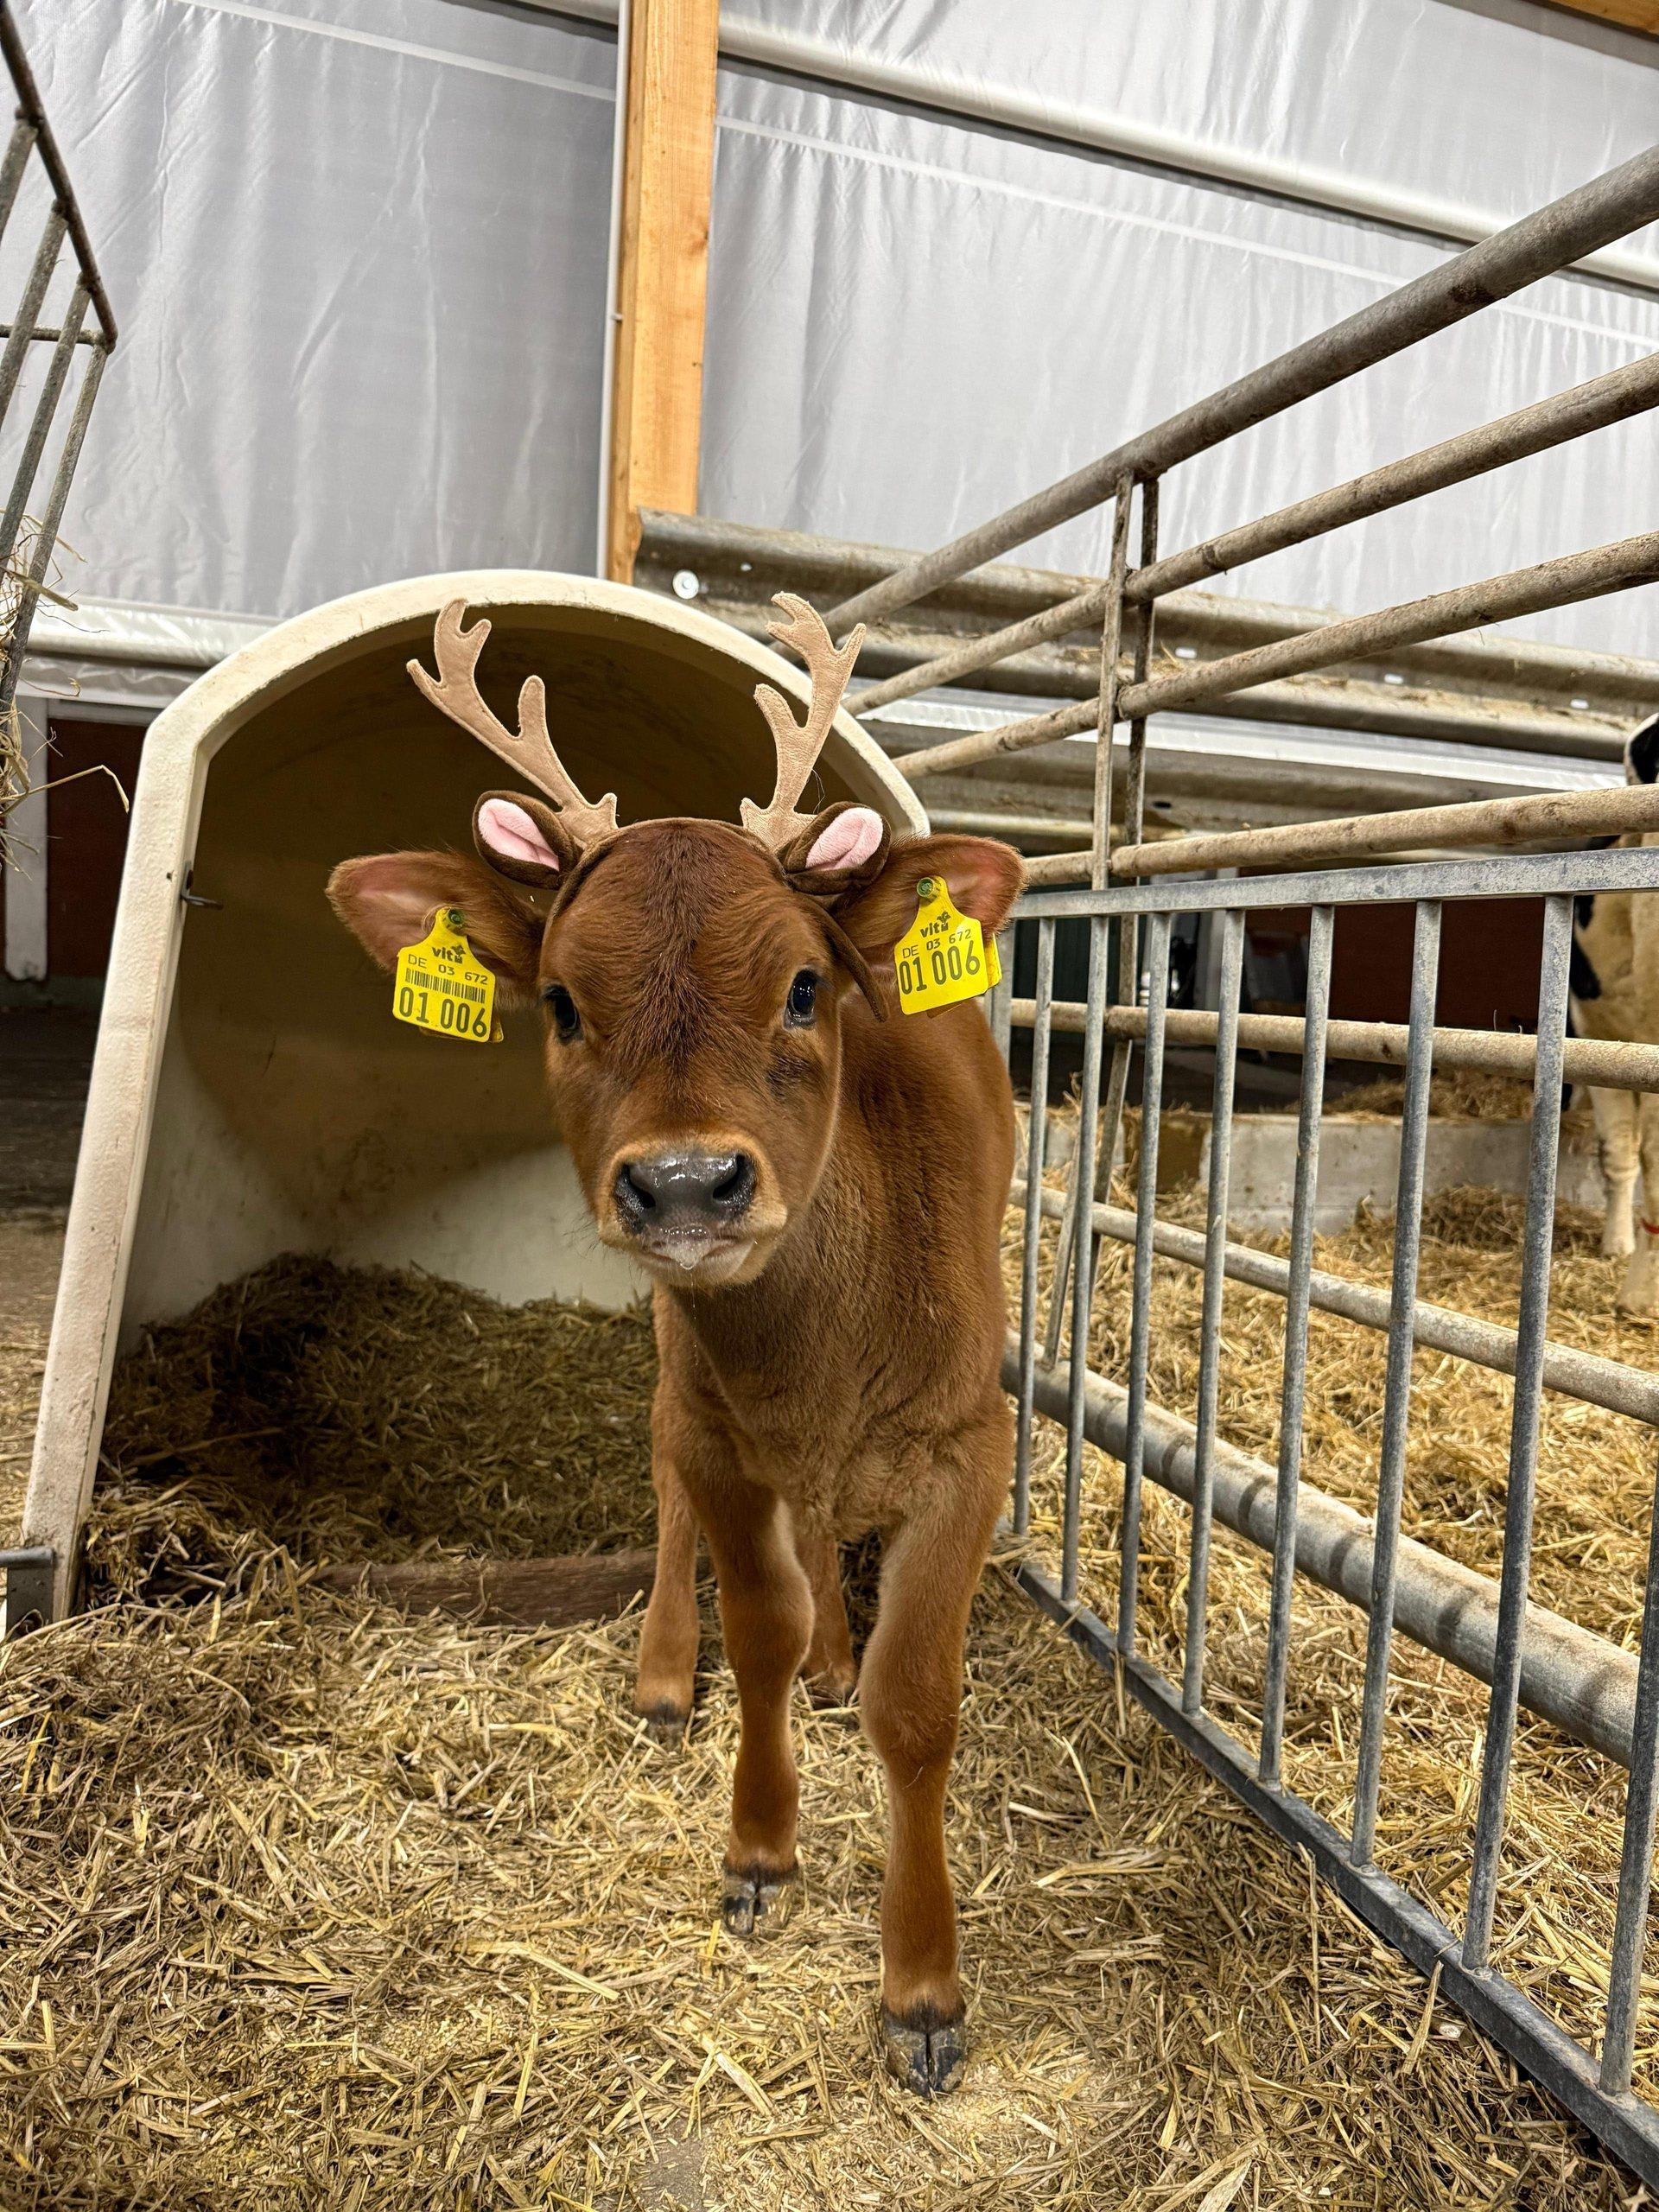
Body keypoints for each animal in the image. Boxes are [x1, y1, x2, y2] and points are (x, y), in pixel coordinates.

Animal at [327, 595, 1024, 2095]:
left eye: (809, 987)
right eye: (561, 1001)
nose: (690, 1185)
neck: (818, 1349)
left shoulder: (971, 1438)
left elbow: (914, 1703)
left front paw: (923, 1993)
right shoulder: (714, 1417)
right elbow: (751, 1620)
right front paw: (758, 1850)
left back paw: (833, 1655)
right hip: (667, 1348)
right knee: (668, 1487)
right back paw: (665, 1666)